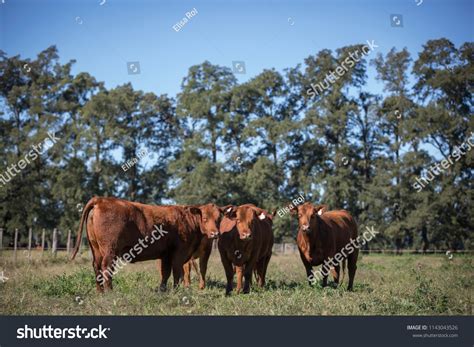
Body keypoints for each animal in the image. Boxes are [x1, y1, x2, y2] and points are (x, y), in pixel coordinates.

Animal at [70, 197, 220, 292]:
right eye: (204, 218)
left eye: (219, 219)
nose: (215, 233)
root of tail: (101, 199)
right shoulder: (179, 253)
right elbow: (178, 272)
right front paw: (176, 290)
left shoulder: (165, 255)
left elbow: (165, 273)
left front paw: (162, 290)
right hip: (110, 250)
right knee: (106, 268)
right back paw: (109, 292)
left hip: (96, 249)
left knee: (97, 267)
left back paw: (100, 291)